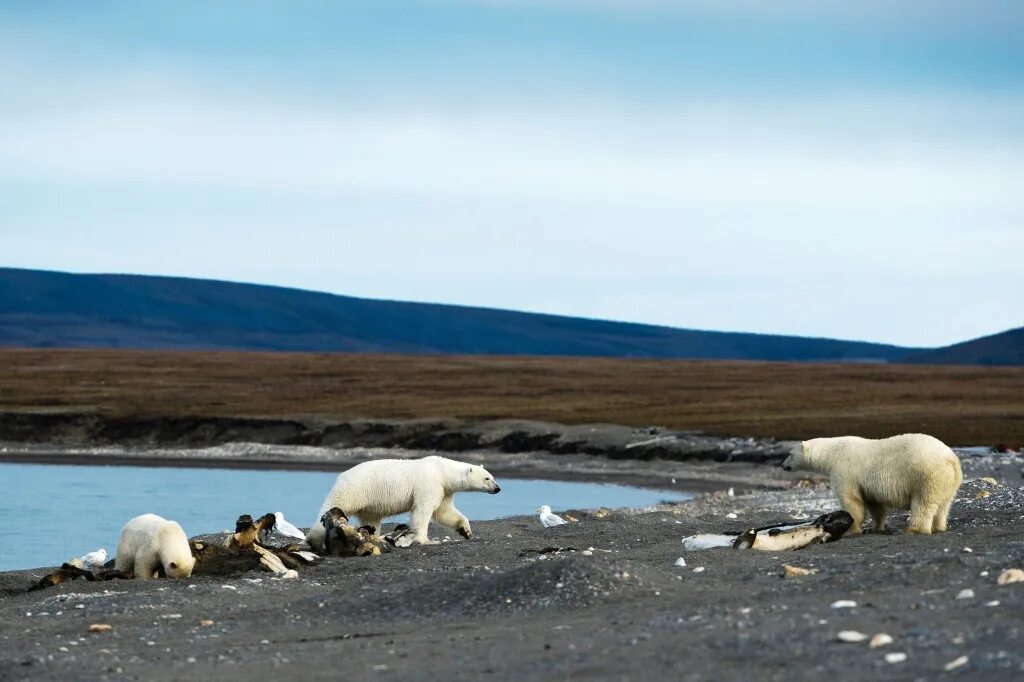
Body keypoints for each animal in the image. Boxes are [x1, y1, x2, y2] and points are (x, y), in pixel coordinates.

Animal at [305, 454, 501, 548]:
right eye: (487, 478)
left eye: (492, 476)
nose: (498, 488)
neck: (442, 471)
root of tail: (341, 475)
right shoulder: (429, 483)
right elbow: (423, 510)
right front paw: (426, 540)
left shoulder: (444, 490)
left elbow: (445, 511)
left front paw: (466, 531)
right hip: (355, 489)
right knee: (336, 504)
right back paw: (315, 537)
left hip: (369, 501)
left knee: (371, 518)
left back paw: (375, 536)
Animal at [782, 430, 958, 536]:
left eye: (789, 453)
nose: (783, 465)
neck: (832, 453)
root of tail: (950, 458)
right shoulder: (867, 485)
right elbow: (874, 504)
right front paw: (874, 527)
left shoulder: (844, 469)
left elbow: (851, 499)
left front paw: (851, 529)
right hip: (947, 480)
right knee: (943, 505)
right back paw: (939, 526)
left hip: (925, 475)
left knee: (923, 503)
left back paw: (914, 529)